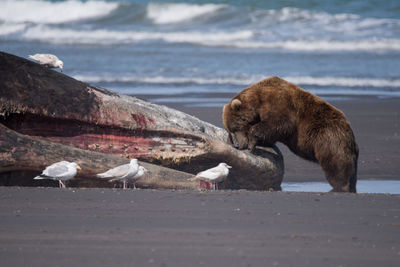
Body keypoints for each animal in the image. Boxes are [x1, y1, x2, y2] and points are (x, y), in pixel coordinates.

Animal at [222, 77, 360, 193]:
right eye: (230, 131)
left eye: (235, 128)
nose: (238, 145)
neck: (258, 100)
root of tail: (349, 132)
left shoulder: (279, 104)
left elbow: (279, 123)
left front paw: (252, 141)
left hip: (329, 139)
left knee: (336, 164)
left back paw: (341, 187)